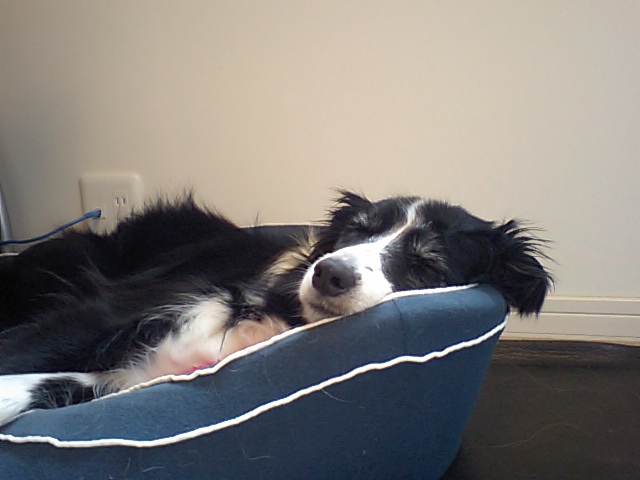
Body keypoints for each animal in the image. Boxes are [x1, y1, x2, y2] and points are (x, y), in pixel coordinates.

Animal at [0, 191, 552, 426]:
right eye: (356, 231)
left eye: (425, 264)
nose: (329, 273)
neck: (276, 315)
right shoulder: (104, 313)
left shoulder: (131, 376)